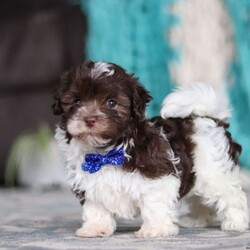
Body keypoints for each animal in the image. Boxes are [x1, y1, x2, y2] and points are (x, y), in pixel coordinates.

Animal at [52, 61, 248, 238]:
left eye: (111, 102)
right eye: (77, 101)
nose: (89, 119)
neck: (108, 151)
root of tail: (209, 118)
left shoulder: (159, 176)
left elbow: (154, 204)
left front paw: (155, 230)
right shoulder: (89, 182)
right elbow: (96, 207)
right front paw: (95, 228)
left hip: (214, 172)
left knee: (232, 195)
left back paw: (235, 223)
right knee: (200, 198)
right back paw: (197, 220)